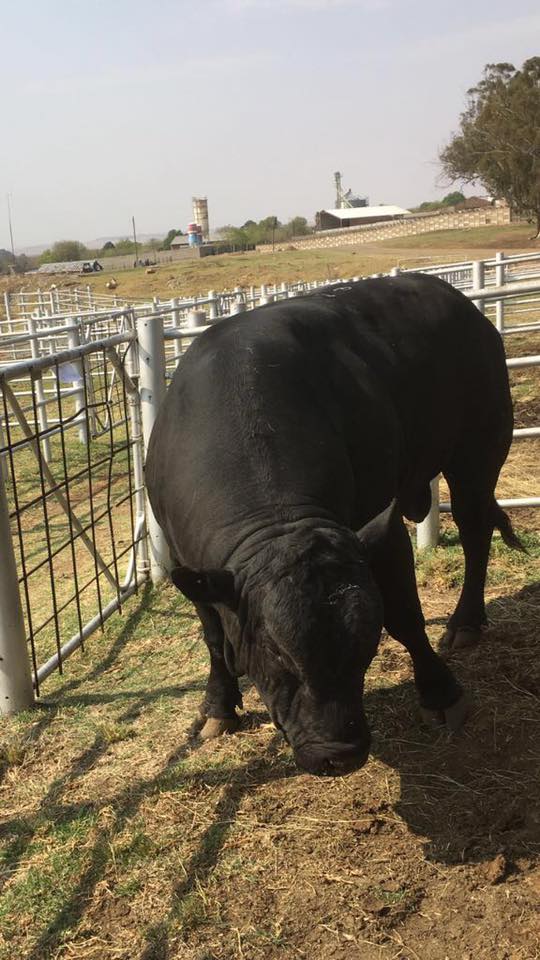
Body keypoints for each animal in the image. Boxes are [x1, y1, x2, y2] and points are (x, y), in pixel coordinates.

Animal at [145, 275, 521, 775]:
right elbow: (213, 635)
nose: (339, 753)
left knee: (475, 534)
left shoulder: (377, 531)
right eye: (276, 653)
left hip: (476, 455)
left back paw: (466, 622)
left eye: (364, 643)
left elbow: (405, 615)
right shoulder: (187, 559)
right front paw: (217, 708)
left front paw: (441, 694)